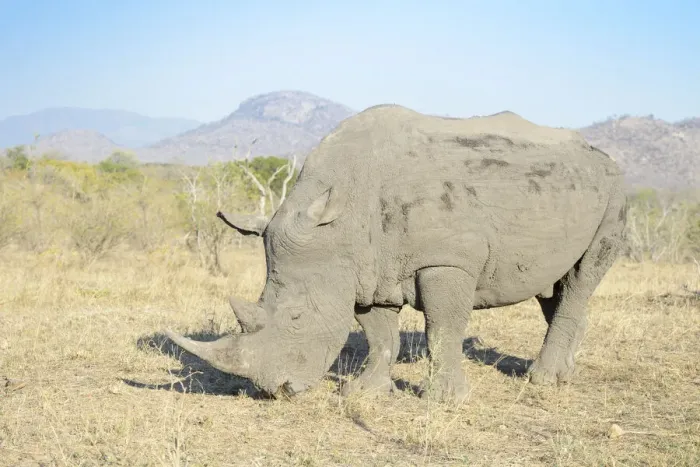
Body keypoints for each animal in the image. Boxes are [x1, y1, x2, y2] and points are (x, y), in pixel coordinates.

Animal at [165, 104, 627, 404]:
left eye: (296, 318)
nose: (277, 390)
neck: (341, 221)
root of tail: (604, 157)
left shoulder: (446, 260)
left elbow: (442, 328)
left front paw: (446, 401)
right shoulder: (366, 269)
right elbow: (379, 334)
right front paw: (365, 392)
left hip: (615, 191)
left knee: (581, 277)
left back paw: (542, 381)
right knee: (556, 286)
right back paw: (565, 373)